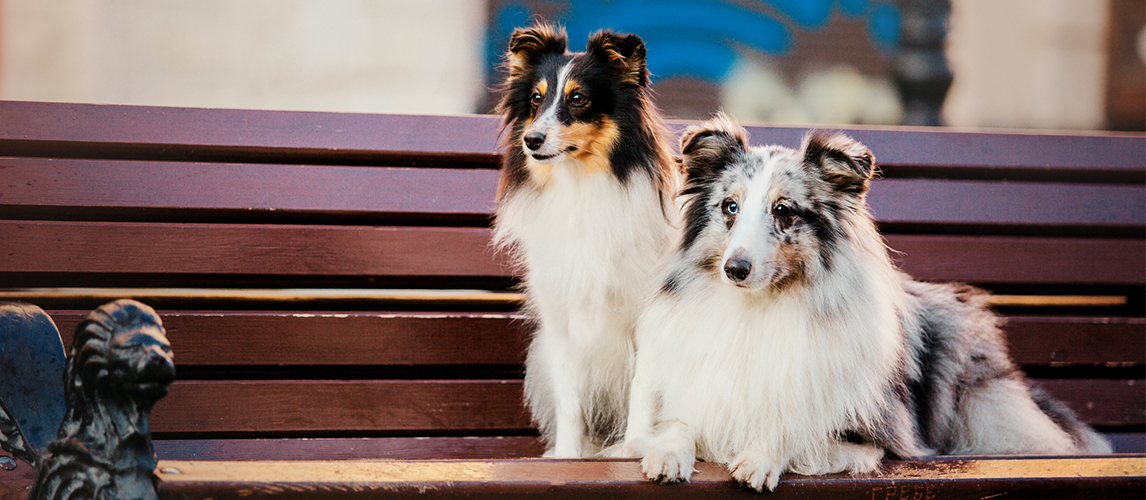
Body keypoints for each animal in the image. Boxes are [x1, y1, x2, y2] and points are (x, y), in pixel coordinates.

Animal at [492, 25, 678, 458]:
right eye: (536, 98)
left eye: (579, 98)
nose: (531, 140)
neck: (580, 186)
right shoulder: (560, 320)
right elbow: (570, 399)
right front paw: (567, 457)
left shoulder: (648, 316)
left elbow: (642, 386)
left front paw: (632, 448)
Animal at [618, 112, 1109, 488]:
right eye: (730, 207)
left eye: (783, 211)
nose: (735, 269)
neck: (759, 309)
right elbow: (679, 424)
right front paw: (667, 453)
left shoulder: (874, 438)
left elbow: (796, 429)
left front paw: (760, 456)